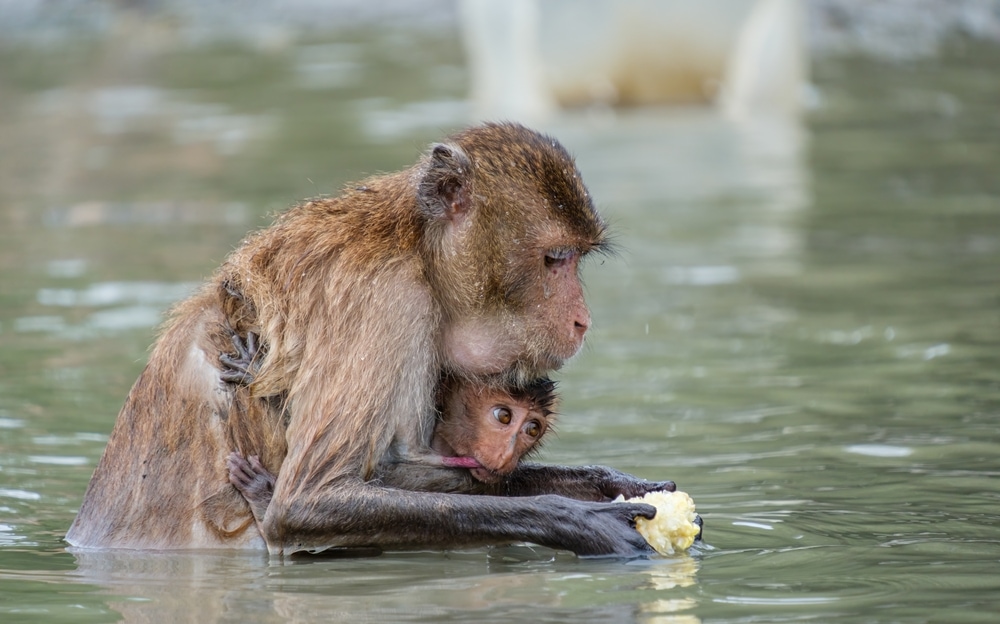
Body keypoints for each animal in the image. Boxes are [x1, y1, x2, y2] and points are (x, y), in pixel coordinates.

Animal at [66, 122, 676, 557]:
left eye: (578, 258)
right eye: (556, 259)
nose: (582, 320)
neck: (416, 250)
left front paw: (608, 484)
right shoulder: (385, 306)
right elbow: (307, 501)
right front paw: (578, 520)